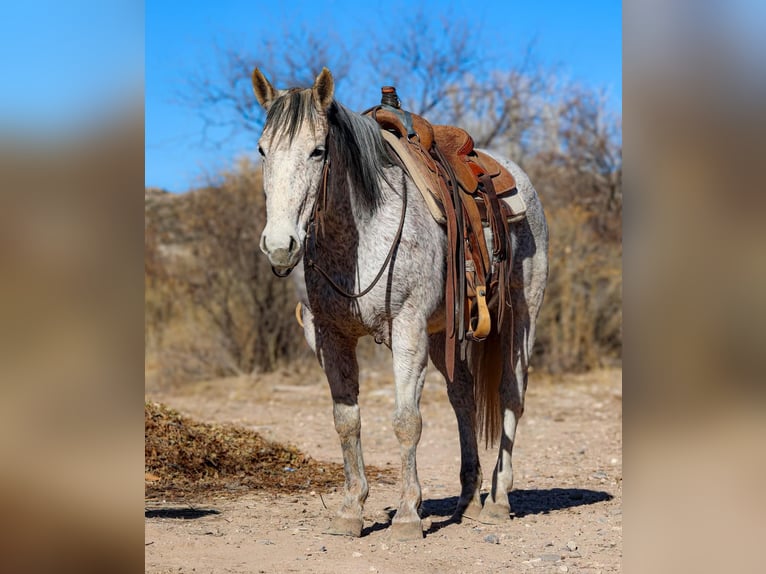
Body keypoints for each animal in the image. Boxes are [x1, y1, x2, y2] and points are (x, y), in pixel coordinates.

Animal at [255, 70, 548, 544]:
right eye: (262, 150)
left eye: (318, 151)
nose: (281, 246)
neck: (362, 235)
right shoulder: (333, 337)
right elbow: (346, 421)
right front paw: (350, 510)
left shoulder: (408, 330)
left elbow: (406, 421)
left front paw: (409, 515)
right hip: (446, 333)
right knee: (462, 398)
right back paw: (468, 499)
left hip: (522, 320)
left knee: (511, 396)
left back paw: (499, 500)